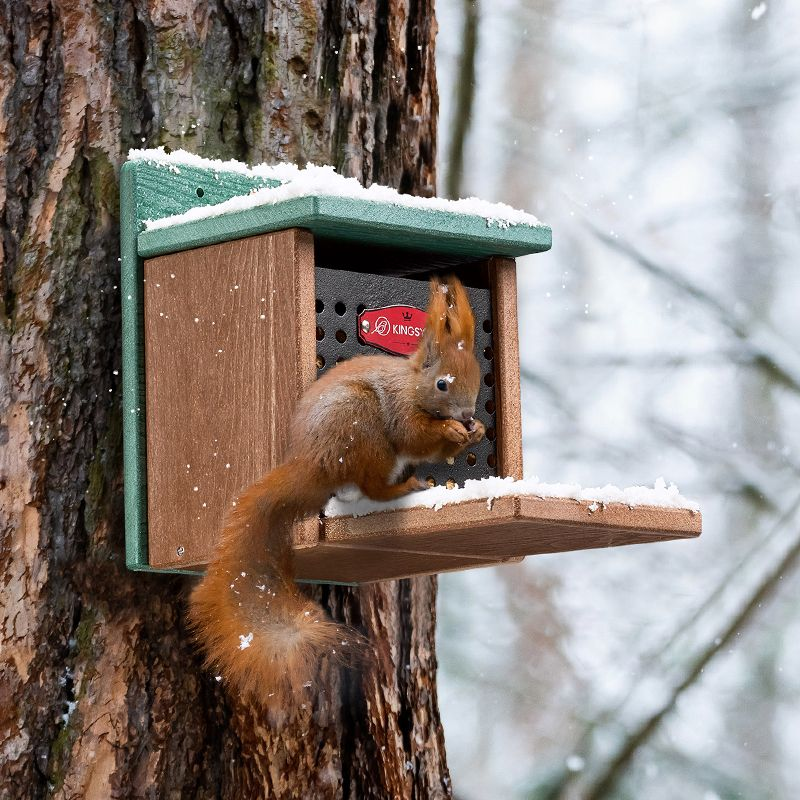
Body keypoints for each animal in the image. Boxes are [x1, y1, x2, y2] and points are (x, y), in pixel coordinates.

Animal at [188, 274, 486, 704]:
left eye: (477, 378)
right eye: (442, 384)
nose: (467, 415)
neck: (412, 385)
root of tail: (312, 465)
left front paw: (474, 431)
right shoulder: (401, 412)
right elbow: (413, 436)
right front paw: (451, 430)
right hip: (362, 430)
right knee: (373, 486)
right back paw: (401, 489)